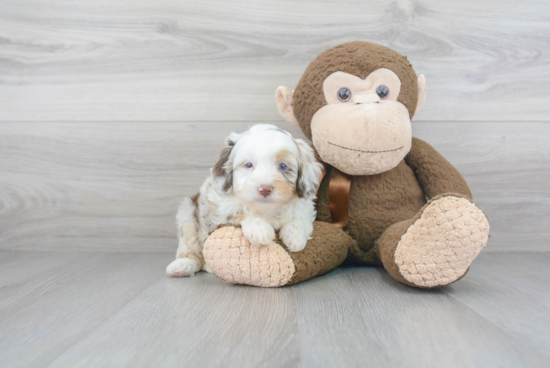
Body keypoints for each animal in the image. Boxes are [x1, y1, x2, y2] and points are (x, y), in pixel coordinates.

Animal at [166, 123, 326, 276]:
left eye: (283, 166)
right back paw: (182, 266)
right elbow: (241, 214)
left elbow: (300, 221)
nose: (265, 189)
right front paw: (259, 229)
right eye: (248, 165)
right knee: (190, 246)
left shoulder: (305, 211)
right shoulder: (221, 212)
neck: (265, 209)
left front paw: (295, 237)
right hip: (188, 214)